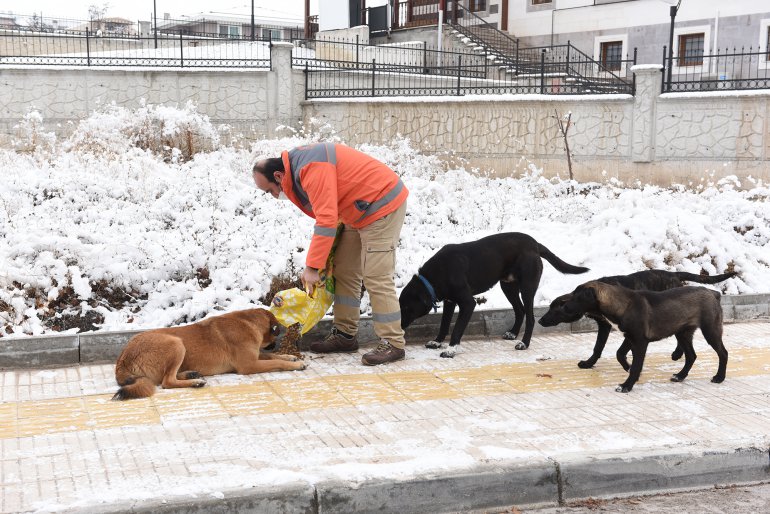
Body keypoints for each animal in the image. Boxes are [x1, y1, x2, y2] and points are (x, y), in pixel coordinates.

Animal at [112, 306, 304, 398]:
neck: (248, 321)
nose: (275, 343)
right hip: (176, 344)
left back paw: (191, 374)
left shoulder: (255, 356)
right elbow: (275, 361)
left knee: (168, 377)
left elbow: (273, 355)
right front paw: (296, 364)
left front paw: (290, 356)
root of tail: (123, 358)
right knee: (167, 381)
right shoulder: (249, 365)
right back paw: (194, 382)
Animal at [396, 232, 588, 356]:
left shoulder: (468, 303)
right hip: (508, 286)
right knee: (520, 311)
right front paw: (437, 341)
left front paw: (450, 349)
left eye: (406, 308)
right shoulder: (450, 301)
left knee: (531, 317)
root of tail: (534, 244)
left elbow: (457, 328)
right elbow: (444, 324)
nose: (400, 326)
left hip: (527, 287)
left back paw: (524, 343)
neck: (433, 278)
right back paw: (513, 333)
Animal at [536, 268, 736, 368]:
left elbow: (601, 347)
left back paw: (678, 353)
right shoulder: (607, 325)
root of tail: (674, 273)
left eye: (554, 310)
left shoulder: (608, 327)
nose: (540, 320)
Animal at [540, 280, 728, 392]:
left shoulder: (640, 341)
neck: (623, 304)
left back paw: (719, 377)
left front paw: (627, 384)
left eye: (577, 297)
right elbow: (620, 353)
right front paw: (627, 368)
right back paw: (680, 376)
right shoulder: (629, 337)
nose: (564, 305)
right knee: (691, 356)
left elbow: (636, 364)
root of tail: (713, 293)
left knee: (723, 353)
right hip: (682, 333)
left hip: (710, 330)